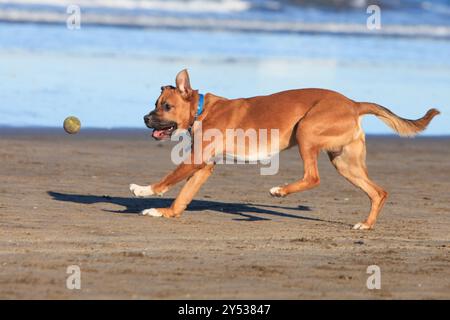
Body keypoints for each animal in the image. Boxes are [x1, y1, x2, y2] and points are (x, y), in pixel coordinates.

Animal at [130, 69, 440, 230]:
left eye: (165, 106)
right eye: (156, 104)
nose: (144, 118)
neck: (201, 109)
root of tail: (353, 103)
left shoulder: (195, 161)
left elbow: (167, 181)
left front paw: (144, 191)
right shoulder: (203, 167)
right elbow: (183, 195)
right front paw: (166, 213)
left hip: (306, 132)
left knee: (313, 177)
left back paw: (279, 191)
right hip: (345, 162)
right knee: (378, 192)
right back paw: (366, 224)